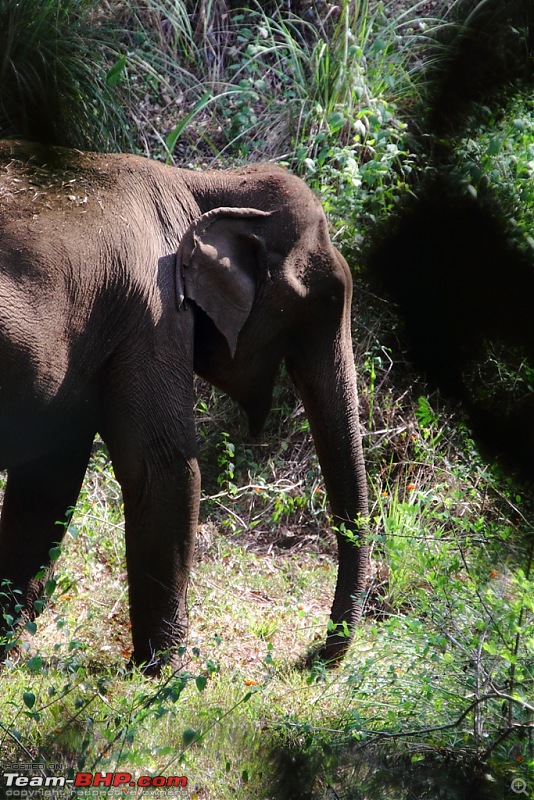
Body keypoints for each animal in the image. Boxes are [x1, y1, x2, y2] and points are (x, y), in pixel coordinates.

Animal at [0, 141, 370, 672]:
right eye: (325, 300)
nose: (310, 659)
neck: (204, 184)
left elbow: (47, 482)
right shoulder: (152, 309)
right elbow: (165, 469)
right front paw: (163, 672)